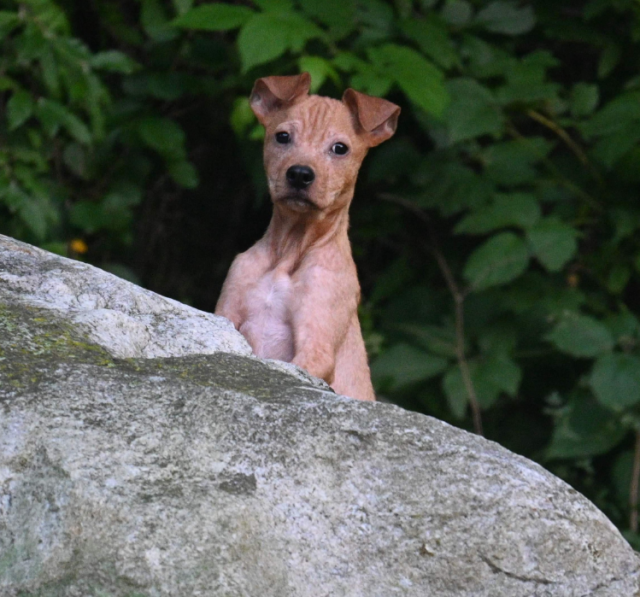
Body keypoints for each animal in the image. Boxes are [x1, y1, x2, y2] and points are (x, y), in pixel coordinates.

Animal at [215, 74, 400, 400]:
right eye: (283, 137)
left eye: (340, 148)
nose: (300, 174)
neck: (290, 250)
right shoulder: (226, 316)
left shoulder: (316, 348)